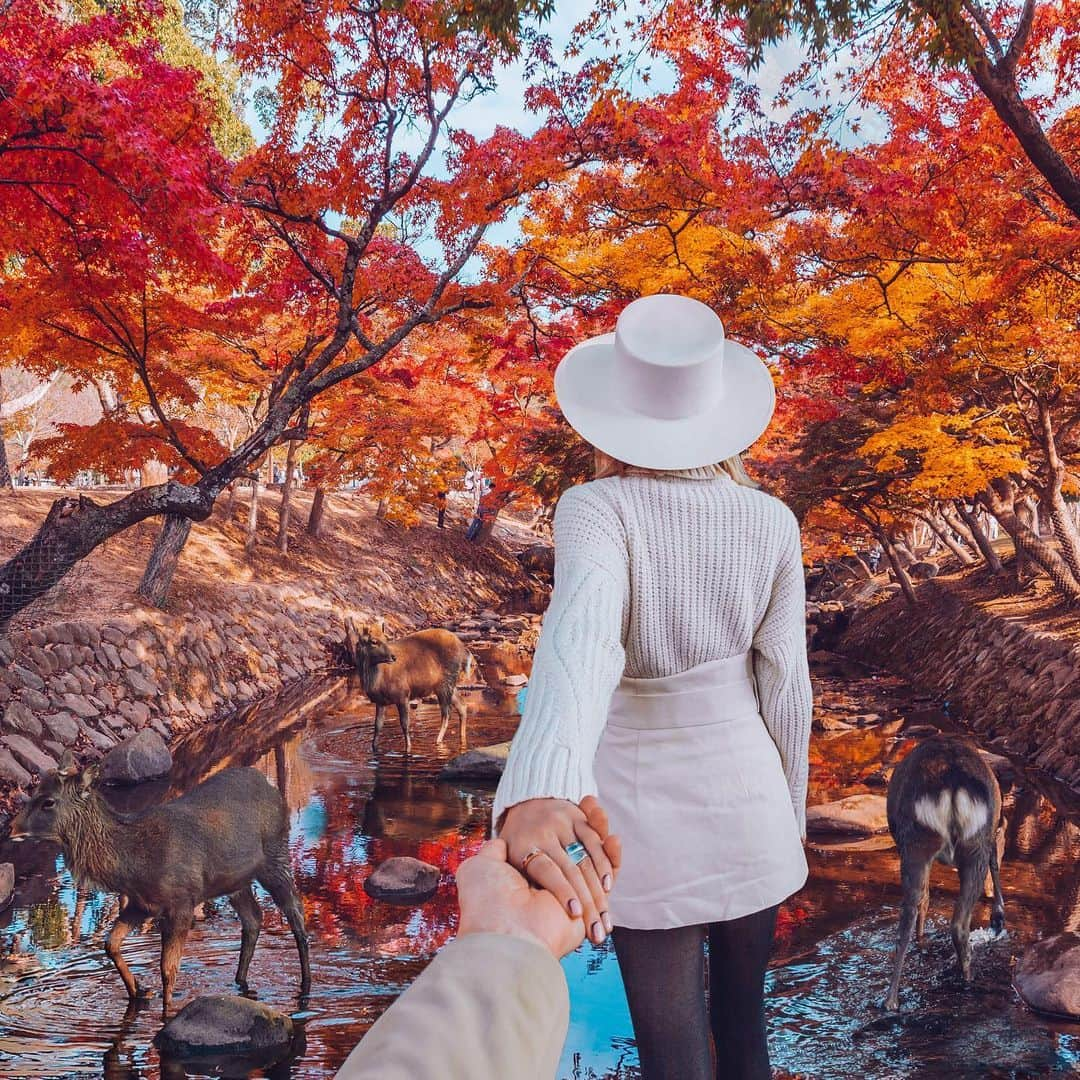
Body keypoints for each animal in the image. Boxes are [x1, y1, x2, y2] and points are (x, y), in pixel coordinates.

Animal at [9, 756, 308, 1015]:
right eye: (34, 791)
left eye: (48, 801)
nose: (11, 827)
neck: (132, 865)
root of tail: (270, 785)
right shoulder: (141, 905)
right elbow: (110, 943)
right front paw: (139, 991)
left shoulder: (182, 902)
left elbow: (167, 968)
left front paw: (166, 1012)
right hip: (236, 882)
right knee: (254, 918)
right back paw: (240, 980)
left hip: (276, 855)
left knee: (296, 916)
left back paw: (306, 986)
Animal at [345, 617, 473, 751]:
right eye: (373, 641)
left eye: (386, 638)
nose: (393, 657)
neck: (377, 681)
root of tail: (463, 647)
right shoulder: (380, 702)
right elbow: (377, 726)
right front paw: (374, 747)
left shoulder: (403, 694)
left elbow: (405, 724)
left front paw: (408, 748)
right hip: (448, 684)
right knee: (462, 706)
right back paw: (461, 738)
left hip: (445, 682)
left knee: (446, 714)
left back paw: (438, 741)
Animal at [885, 734, 1002, 1010]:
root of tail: (952, 785)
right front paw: (998, 916)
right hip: (964, 843)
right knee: (948, 919)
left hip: (920, 844)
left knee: (916, 912)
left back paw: (891, 1000)